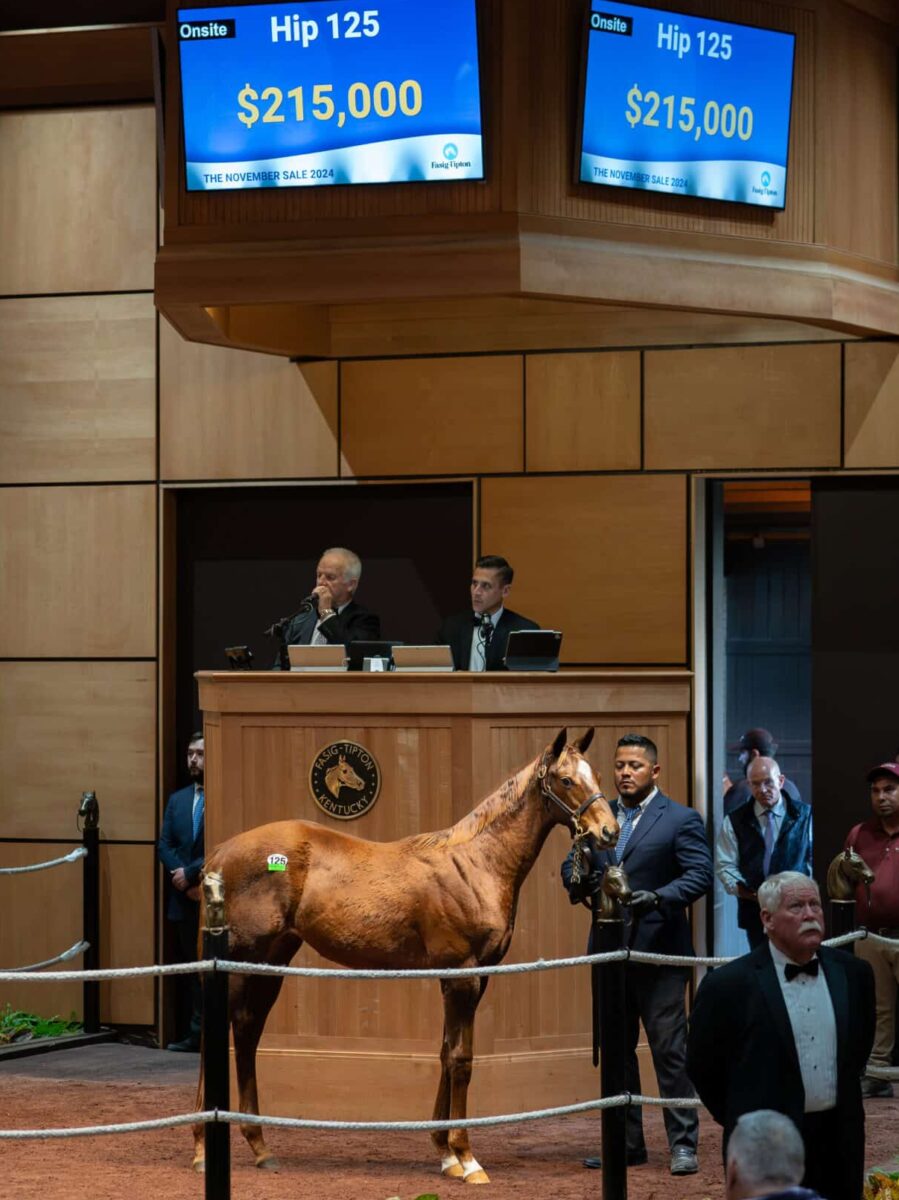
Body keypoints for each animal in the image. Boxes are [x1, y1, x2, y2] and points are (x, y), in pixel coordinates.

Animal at [193, 729, 619, 1180]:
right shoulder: (462, 976)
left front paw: (446, 1153)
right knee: (215, 1034)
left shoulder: (473, 976)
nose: (609, 831)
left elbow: (446, 1053)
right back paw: (203, 1149)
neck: (476, 865)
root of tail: (220, 854)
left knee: (246, 1030)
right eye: (566, 780)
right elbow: (462, 1058)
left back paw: (259, 1145)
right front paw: (467, 1157)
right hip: (237, 962)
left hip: (270, 961)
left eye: (596, 775)